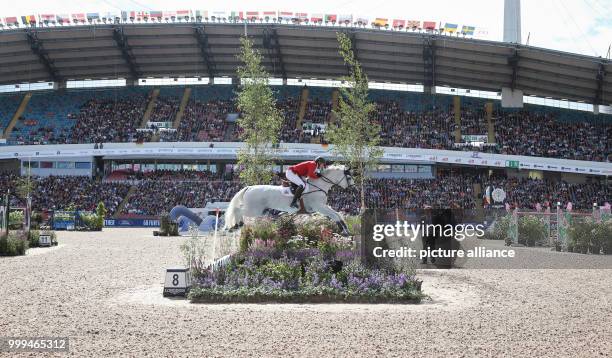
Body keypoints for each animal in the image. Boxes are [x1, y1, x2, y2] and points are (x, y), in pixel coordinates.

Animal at [224, 165, 354, 235]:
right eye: (349, 177)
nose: (352, 188)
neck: (319, 185)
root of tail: (249, 187)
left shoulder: (323, 206)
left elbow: (337, 214)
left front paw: (345, 229)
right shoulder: (319, 207)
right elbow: (335, 215)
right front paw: (344, 230)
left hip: (256, 210)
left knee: (238, 210)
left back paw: (237, 225)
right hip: (254, 210)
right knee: (237, 210)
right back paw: (236, 225)